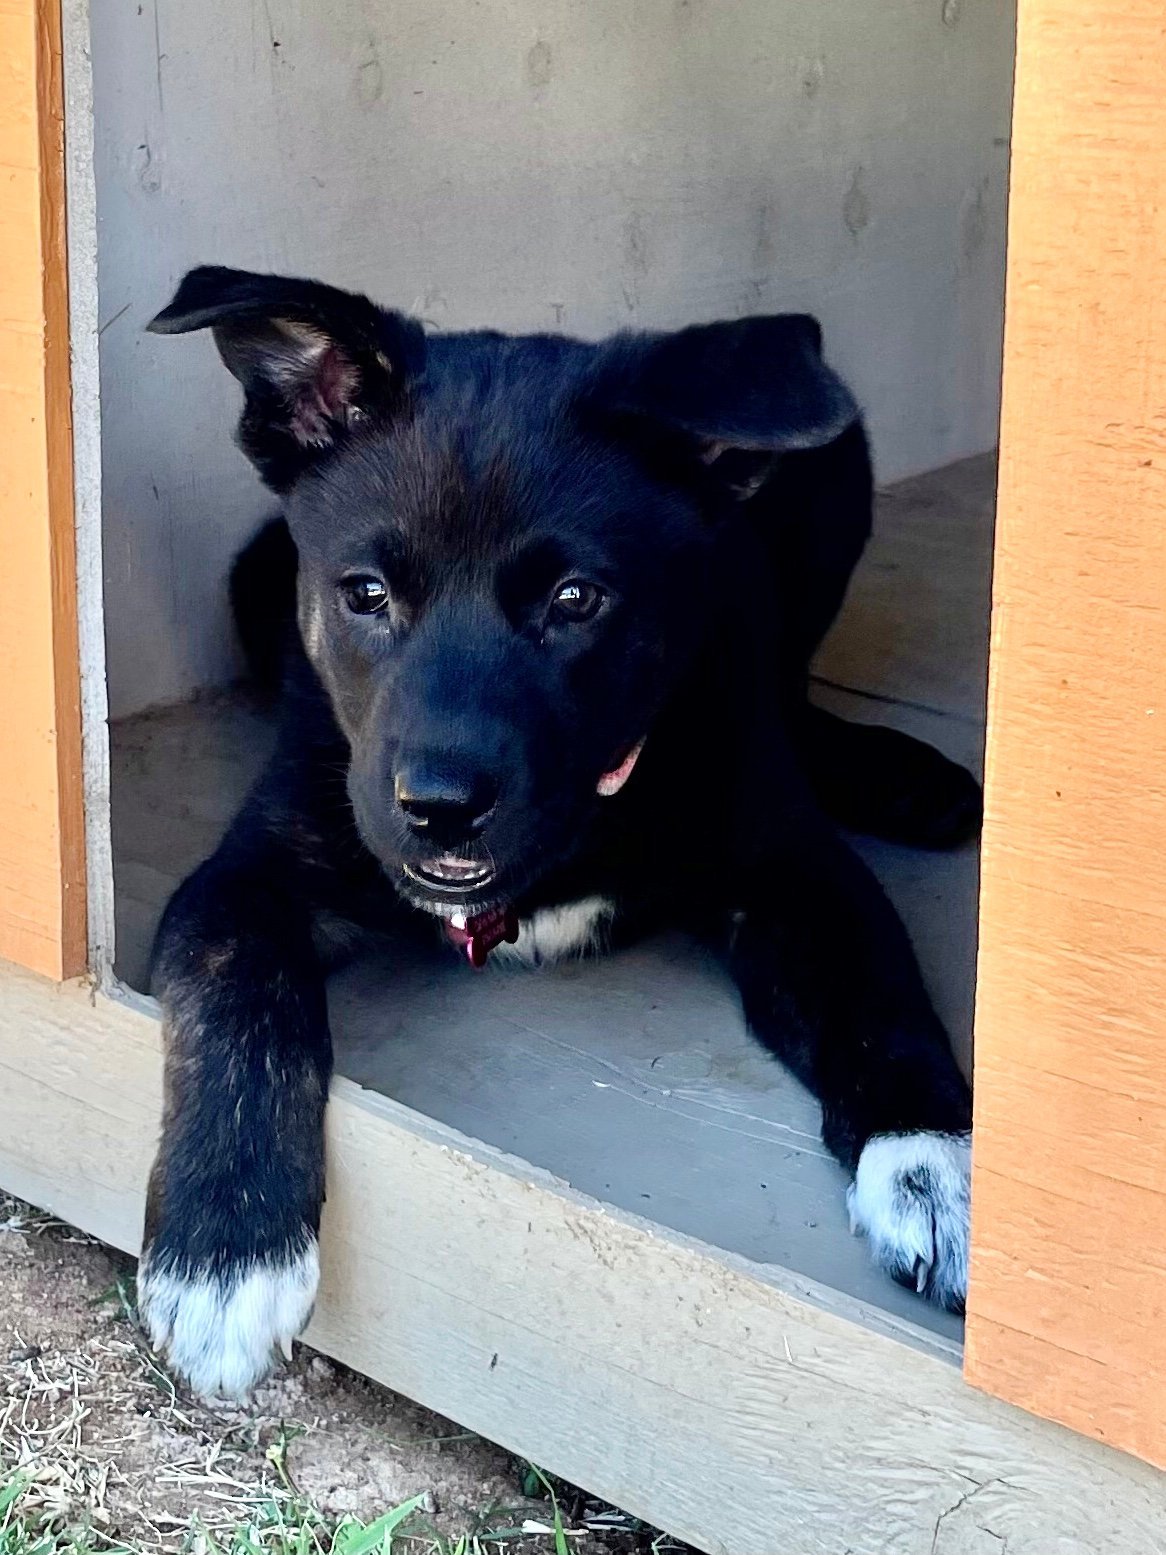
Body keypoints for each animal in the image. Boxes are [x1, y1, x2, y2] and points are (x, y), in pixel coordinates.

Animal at [139, 267, 988, 1399]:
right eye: (365, 593)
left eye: (576, 599)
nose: (440, 803)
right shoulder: (250, 874)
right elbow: (244, 1005)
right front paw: (224, 1249)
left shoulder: (792, 868)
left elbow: (878, 1002)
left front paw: (937, 1169)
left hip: (829, 465)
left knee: (794, 691)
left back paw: (896, 776)